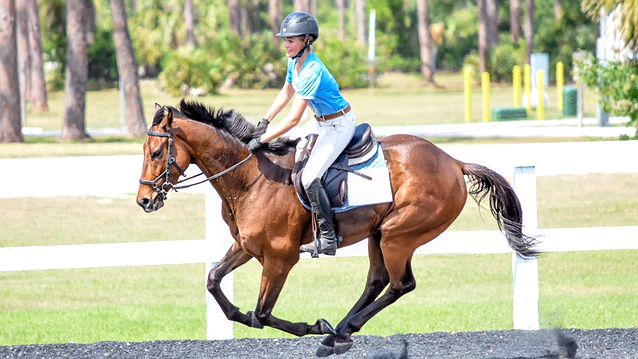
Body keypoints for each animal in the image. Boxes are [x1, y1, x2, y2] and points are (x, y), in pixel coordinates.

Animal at [136, 100, 540, 358]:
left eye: (156, 153)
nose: (144, 200)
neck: (250, 178)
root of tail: (453, 162)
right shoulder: (247, 248)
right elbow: (215, 283)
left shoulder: (280, 258)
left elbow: (262, 314)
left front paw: (313, 326)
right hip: (379, 235)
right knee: (378, 281)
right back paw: (340, 332)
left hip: (398, 235)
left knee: (400, 284)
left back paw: (338, 332)